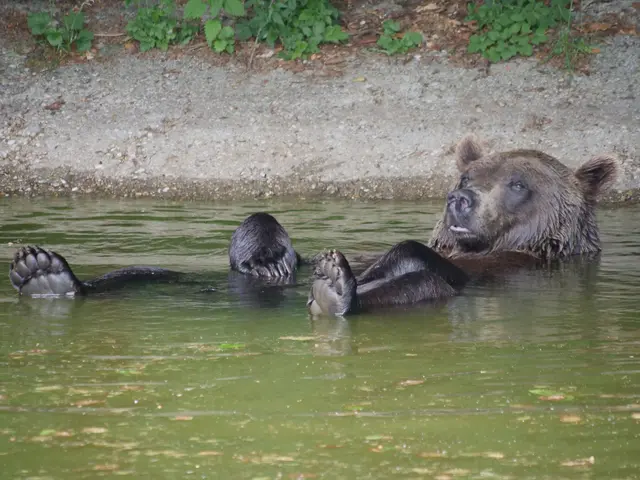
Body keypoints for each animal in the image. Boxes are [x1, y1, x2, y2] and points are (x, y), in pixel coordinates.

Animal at [306, 134, 618, 316]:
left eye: (517, 184)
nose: (460, 199)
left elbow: (416, 256)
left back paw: (336, 291)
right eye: (467, 177)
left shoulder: (514, 263)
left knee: (424, 285)